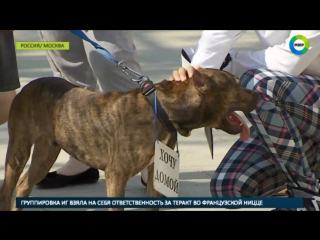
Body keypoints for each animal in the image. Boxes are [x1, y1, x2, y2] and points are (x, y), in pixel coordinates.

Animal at [0, 67, 258, 210]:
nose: (257, 93)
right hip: (19, 149)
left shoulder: (155, 172)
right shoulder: (116, 175)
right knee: (8, 187)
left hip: (46, 152)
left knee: (23, 186)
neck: (162, 111)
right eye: (236, 84)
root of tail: (28, 86)